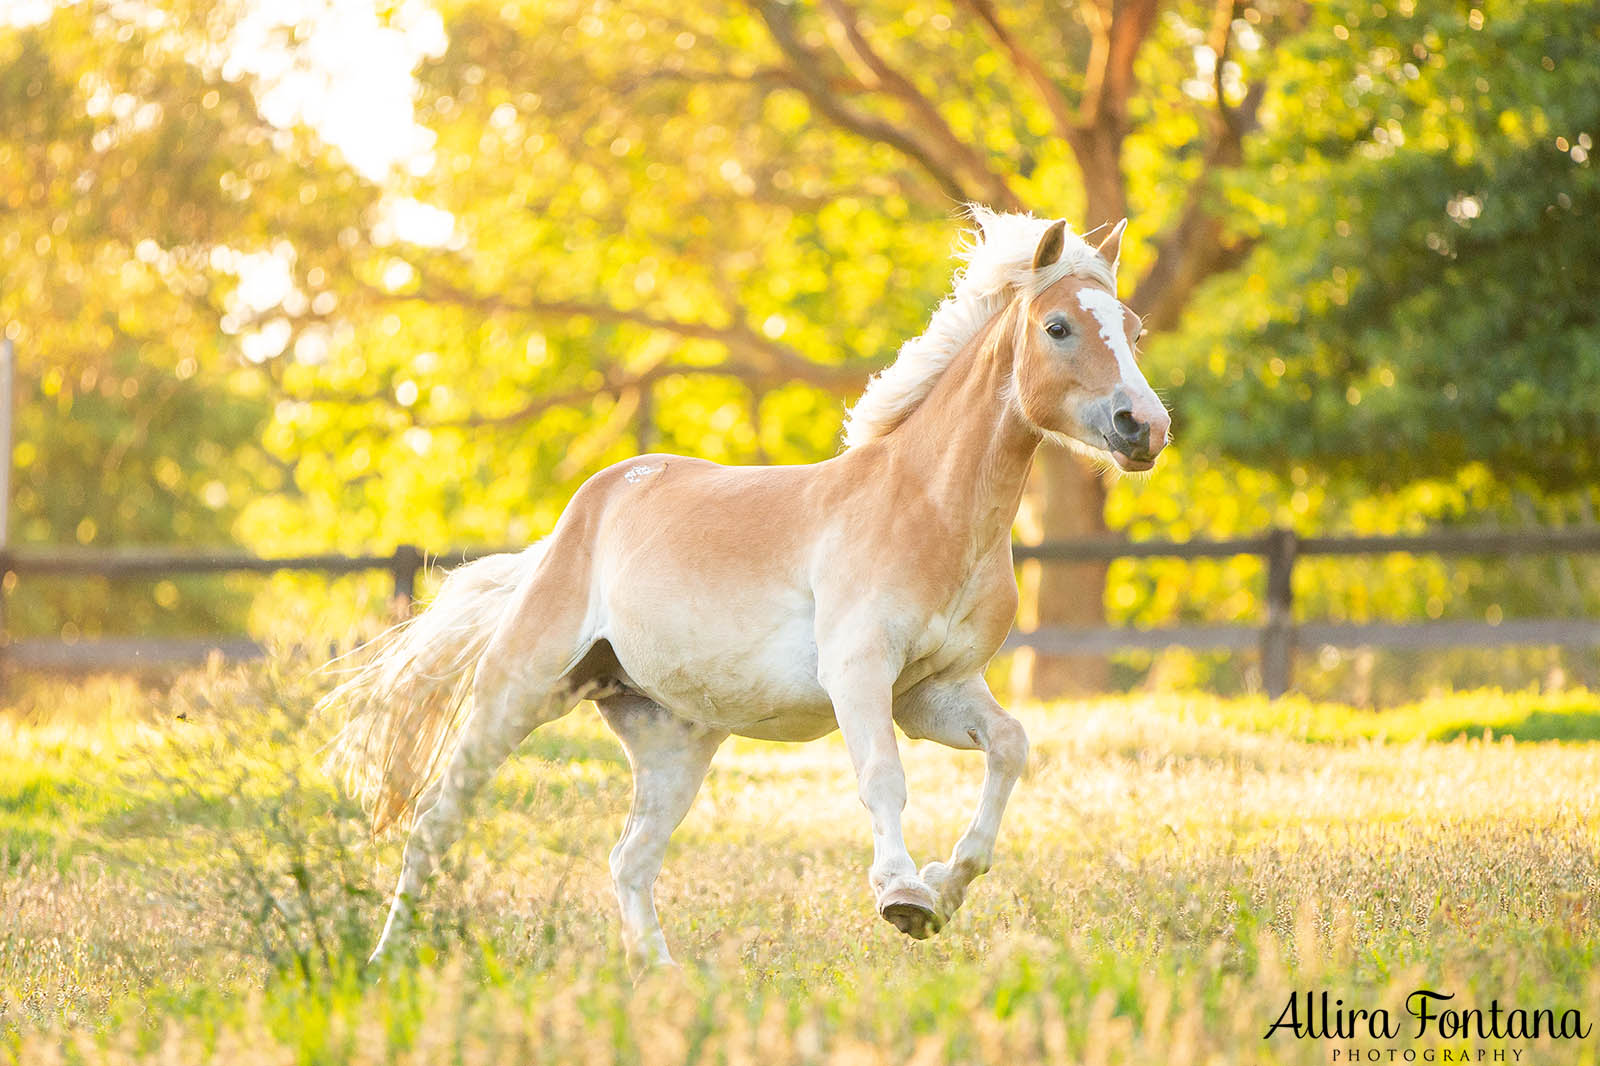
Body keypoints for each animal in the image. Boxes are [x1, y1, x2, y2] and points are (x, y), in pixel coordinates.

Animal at [328, 203, 1177, 966]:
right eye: (1058, 327)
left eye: (1134, 330)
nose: (1145, 427)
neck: (927, 508)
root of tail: (571, 526)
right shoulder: (859, 672)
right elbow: (883, 778)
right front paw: (903, 897)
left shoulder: (933, 691)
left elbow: (1010, 747)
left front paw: (944, 889)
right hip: (519, 692)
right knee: (434, 821)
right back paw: (385, 961)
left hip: (671, 740)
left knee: (629, 860)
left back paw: (662, 979)